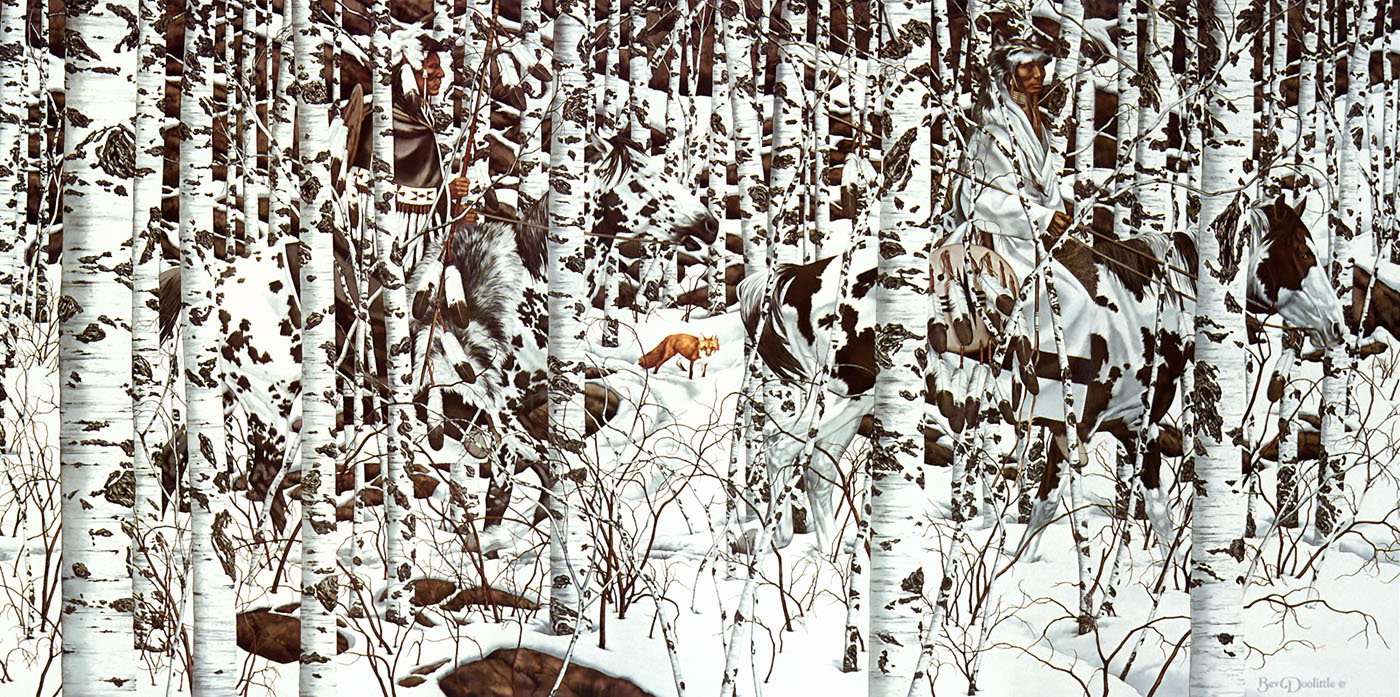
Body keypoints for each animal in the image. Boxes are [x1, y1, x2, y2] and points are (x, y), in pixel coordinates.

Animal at [744, 194, 1344, 548]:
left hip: (856, 407)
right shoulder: (1126, 429)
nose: (1337, 324)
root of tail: (800, 276)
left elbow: (1051, 510)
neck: (1145, 303)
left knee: (813, 473)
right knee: (781, 457)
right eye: (1301, 254)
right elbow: (1140, 512)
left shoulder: (1089, 430)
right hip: (842, 397)